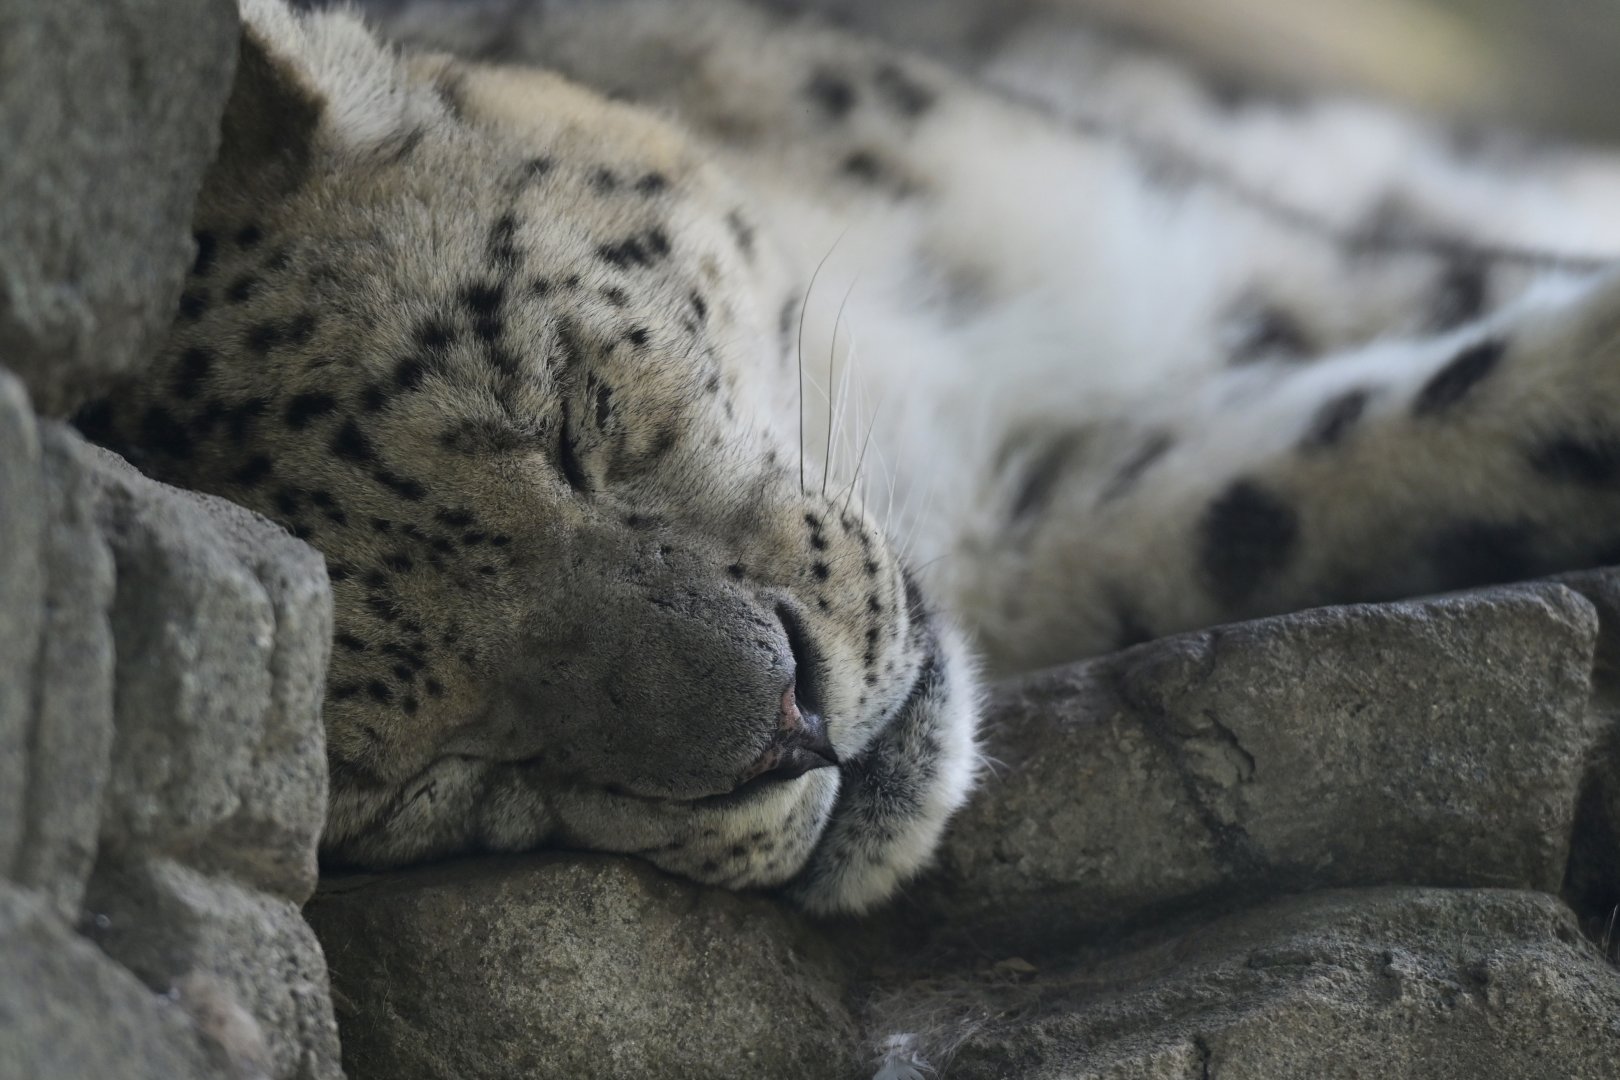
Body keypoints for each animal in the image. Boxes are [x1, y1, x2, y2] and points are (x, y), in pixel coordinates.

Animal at [75, 0, 1620, 916]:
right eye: (429, 774)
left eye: (565, 418)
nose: (788, 723)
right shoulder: (1093, 514)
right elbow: (1366, 457)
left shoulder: (1232, 254)